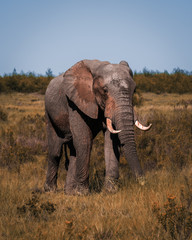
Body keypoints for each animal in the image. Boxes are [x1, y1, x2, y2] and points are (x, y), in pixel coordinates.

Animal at [44, 59, 152, 195]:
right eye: (105, 90)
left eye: (134, 90)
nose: (143, 182)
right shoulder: (75, 102)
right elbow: (84, 140)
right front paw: (82, 193)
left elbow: (111, 143)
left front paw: (110, 191)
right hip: (49, 113)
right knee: (55, 151)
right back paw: (50, 191)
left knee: (73, 150)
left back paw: (69, 192)